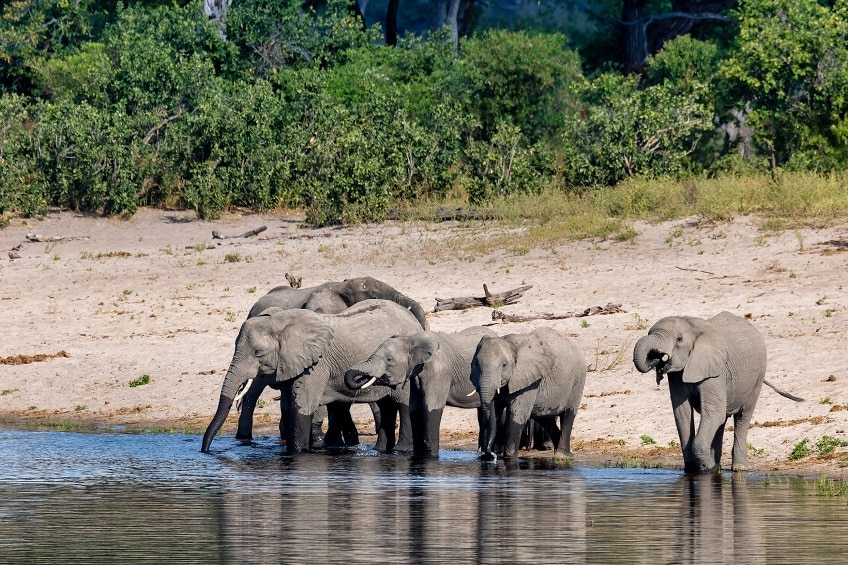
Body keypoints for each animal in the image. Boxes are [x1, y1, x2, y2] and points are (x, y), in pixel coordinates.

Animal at [200, 300, 424, 454]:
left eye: (258, 352)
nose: (206, 452)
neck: (282, 322)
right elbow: (289, 406)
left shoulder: (318, 363)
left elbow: (303, 405)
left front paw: (299, 453)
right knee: (386, 406)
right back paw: (379, 451)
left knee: (403, 403)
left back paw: (402, 450)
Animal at [342, 326, 496, 458]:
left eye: (389, 360)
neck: (410, 340)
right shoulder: (414, 374)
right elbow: (414, 409)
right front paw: (418, 456)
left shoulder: (439, 371)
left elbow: (431, 407)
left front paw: (431, 457)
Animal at [468, 326, 588, 458]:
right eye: (476, 364)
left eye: (504, 365)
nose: (489, 454)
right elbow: (495, 411)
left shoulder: (530, 382)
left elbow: (516, 416)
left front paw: (509, 457)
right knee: (546, 419)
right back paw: (563, 453)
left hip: (577, 380)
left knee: (568, 416)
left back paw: (562, 456)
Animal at [632, 310, 804, 474]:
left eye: (679, 339)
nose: (657, 358)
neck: (692, 327)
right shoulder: (676, 375)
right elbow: (682, 415)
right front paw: (697, 470)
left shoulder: (716, 371)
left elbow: (713, 413)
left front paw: (708, 469)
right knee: (720, 420)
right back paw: (718, 464)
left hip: (758, 375)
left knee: (742, 416)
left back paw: (739, 468)